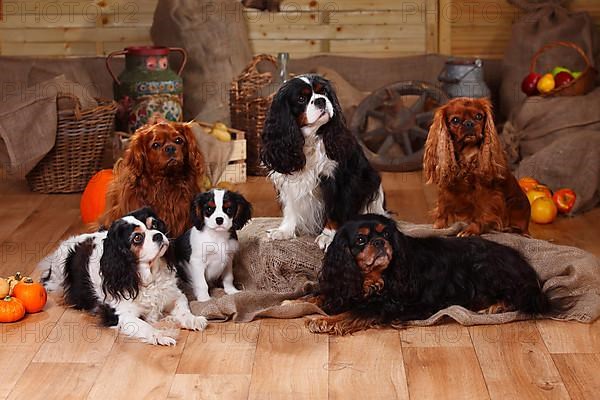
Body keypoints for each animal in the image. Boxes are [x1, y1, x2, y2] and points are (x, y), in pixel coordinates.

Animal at [39, 208, 207, 346]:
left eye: (155, 225)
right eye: (137, 237)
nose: (159, 236)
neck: (149, 276)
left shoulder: (175, 296)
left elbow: (184, 310)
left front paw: (192, 319)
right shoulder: (123, 316)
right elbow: (146, 326)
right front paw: (160, 335)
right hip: (58, 279)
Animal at [260, 74, 386, 248]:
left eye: (324, 92)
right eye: (301, 99)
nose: (321, 100)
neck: (309, 140)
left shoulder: (338, 180)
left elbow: (334, 210)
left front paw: (328, 236)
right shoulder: (289, 179)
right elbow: (291, 206)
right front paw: (285, 231)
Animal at [304, 216, 552, 334]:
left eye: (387, 234)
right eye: (361, 240)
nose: (380, 242)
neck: (372, 277)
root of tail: (524, 266)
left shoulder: (387, 305)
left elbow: (351, 313)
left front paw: (322, 320)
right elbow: (324, 297)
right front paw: (306, 300)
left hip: (484, 268)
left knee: (516, 297)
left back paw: (494, 307)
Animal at [422, 97, 528, 238]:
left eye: (479, 116)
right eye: (455, 120)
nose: (469, 123)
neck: (466, 156)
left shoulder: (487, 194)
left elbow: (482, 213)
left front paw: (471, 230)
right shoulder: (445, 188)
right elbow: (443, 208)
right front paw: (439, 226)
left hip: (515, 205)